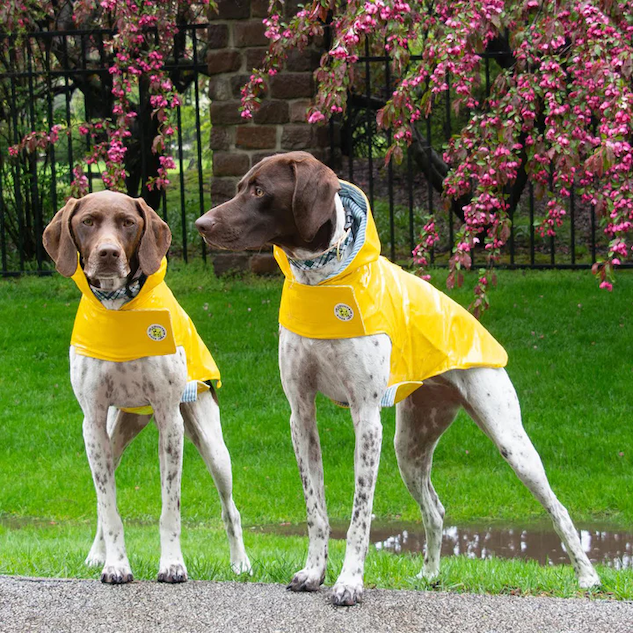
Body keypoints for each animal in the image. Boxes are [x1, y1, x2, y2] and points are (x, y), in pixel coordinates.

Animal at [41, 191, 249, 584]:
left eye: (128, 222)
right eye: (87, 221)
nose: (108, 253)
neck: (118, 308)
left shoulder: (170, 420)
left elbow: (170, 508)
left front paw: (172, 564)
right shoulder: (93, 423)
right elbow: (108, 508)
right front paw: (115, 564)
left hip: (211, 446)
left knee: (230, 509)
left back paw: (240, 563)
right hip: (114, 433)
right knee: (101, 502)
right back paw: (96, 555)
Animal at [196, 151, 596, 604]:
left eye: (260, 190)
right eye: (240, 187)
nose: (201, 224)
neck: (322, 280)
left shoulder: (366, 417)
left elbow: (360, 514)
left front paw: (350, 582)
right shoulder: (301, 414)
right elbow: (316, 510)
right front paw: (314, 572)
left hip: (511, 441)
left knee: (558, 508)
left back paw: (587, 577)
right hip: (411, 447)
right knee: (435, 510)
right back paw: (430, 574)